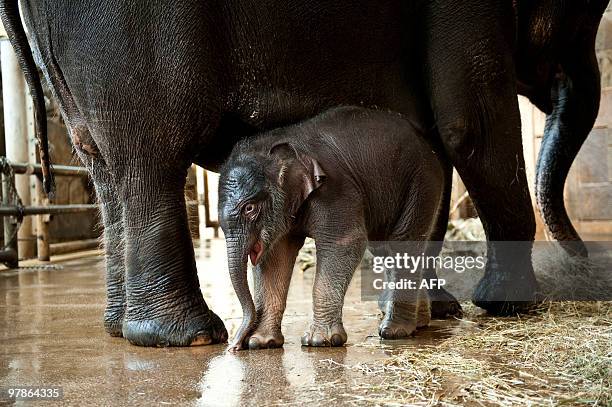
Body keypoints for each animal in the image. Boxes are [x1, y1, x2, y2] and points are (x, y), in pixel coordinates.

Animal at [220, 106, 450, 350]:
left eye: (249, 208)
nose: (234, 346)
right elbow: (274, 258)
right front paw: (261, 342)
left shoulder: (335, 190)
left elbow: (344, 243)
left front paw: (319, 341)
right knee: (385, 246)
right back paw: (419, 323)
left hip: (422, 182)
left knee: (403, 241)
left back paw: (394, 331)